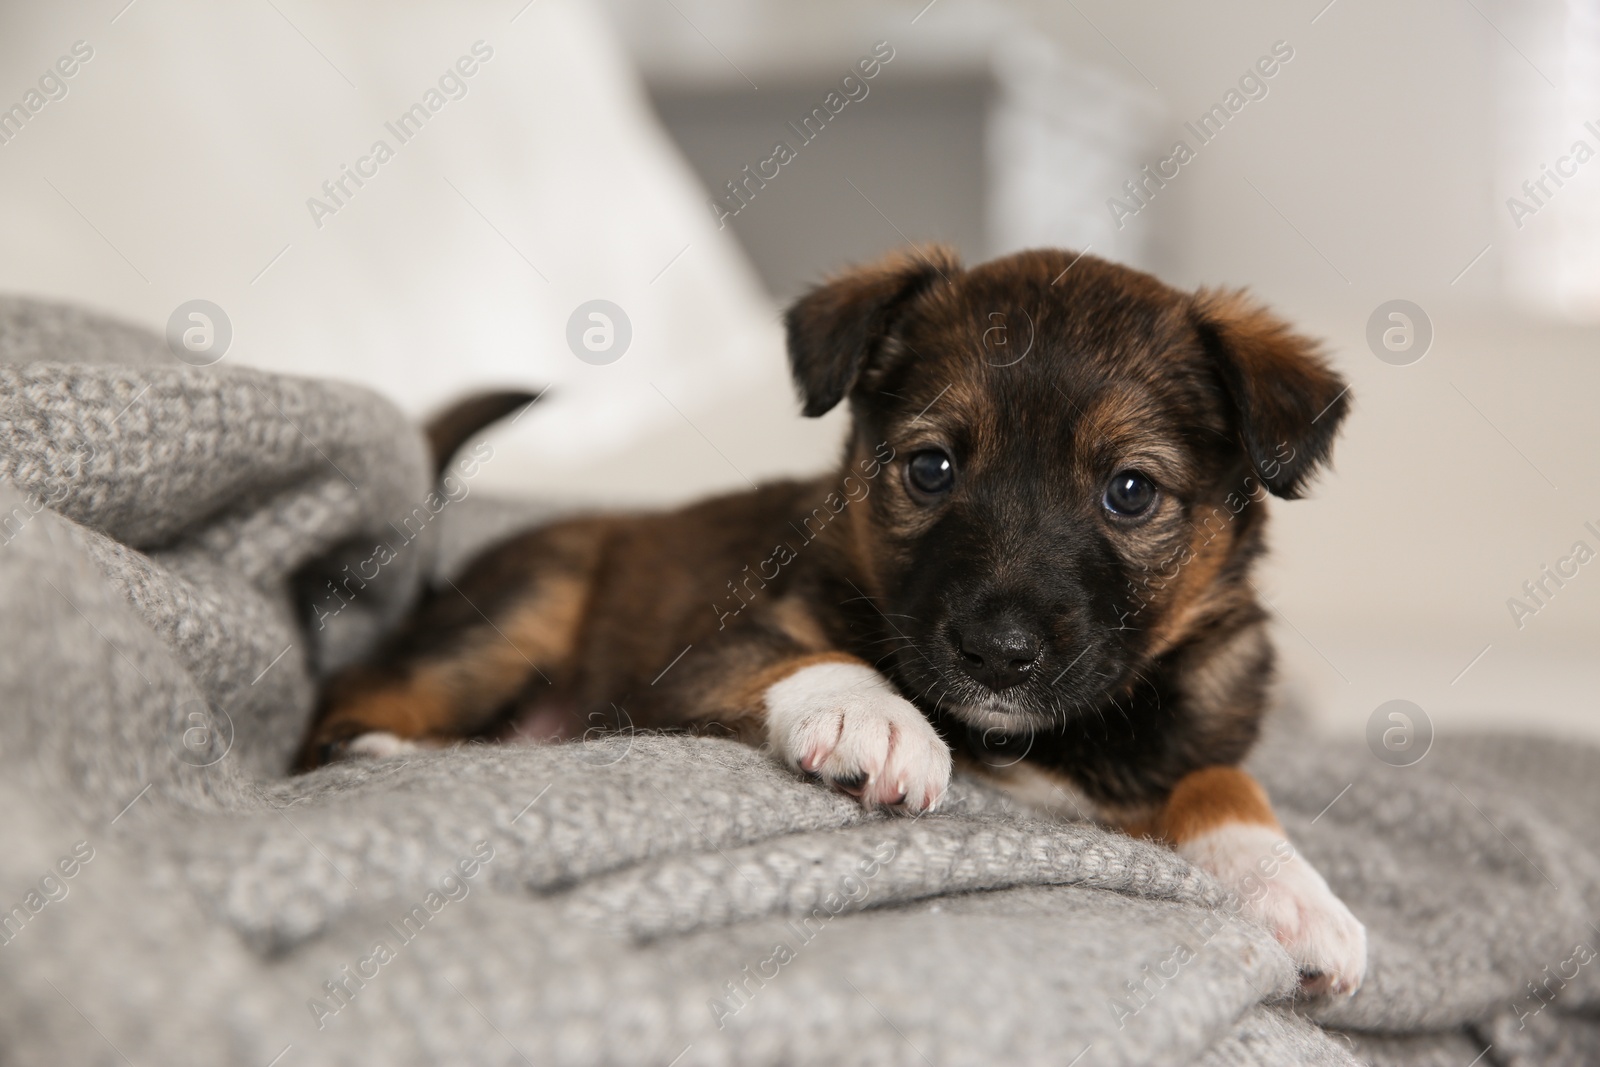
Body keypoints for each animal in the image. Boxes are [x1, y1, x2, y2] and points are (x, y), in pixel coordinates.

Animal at [297, 246, 1363, 998]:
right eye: (930, 468)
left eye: (1131, 492)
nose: (998, 655)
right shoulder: (698, 656)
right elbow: (811, 655)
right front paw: (877, 720)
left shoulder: (1189, 731)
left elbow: (1223, 782)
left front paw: (1294, 892)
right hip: (531, 600)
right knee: (350, 691)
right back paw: (382, 751)